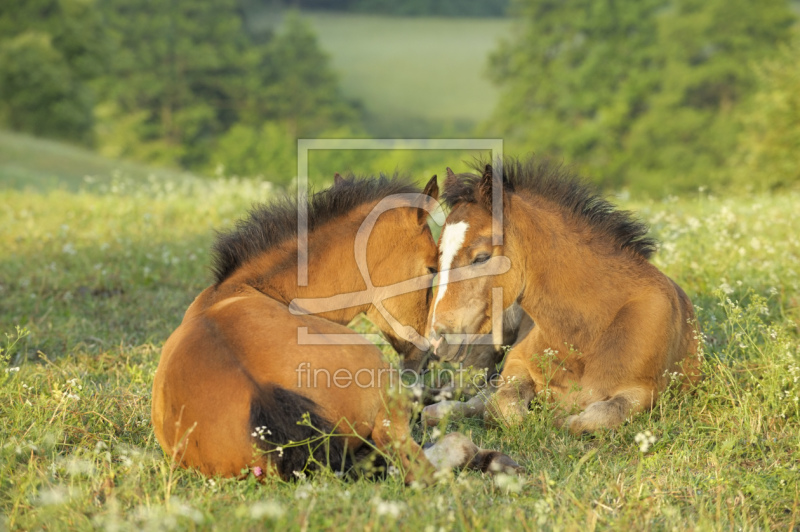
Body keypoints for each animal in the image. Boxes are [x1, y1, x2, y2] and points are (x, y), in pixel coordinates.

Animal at [424, 160, 700, 434]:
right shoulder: (516, 364)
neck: (589, 332)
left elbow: (596, 418)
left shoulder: (645, 391)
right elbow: (505, 410)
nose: (438, 337)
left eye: (481, 257)